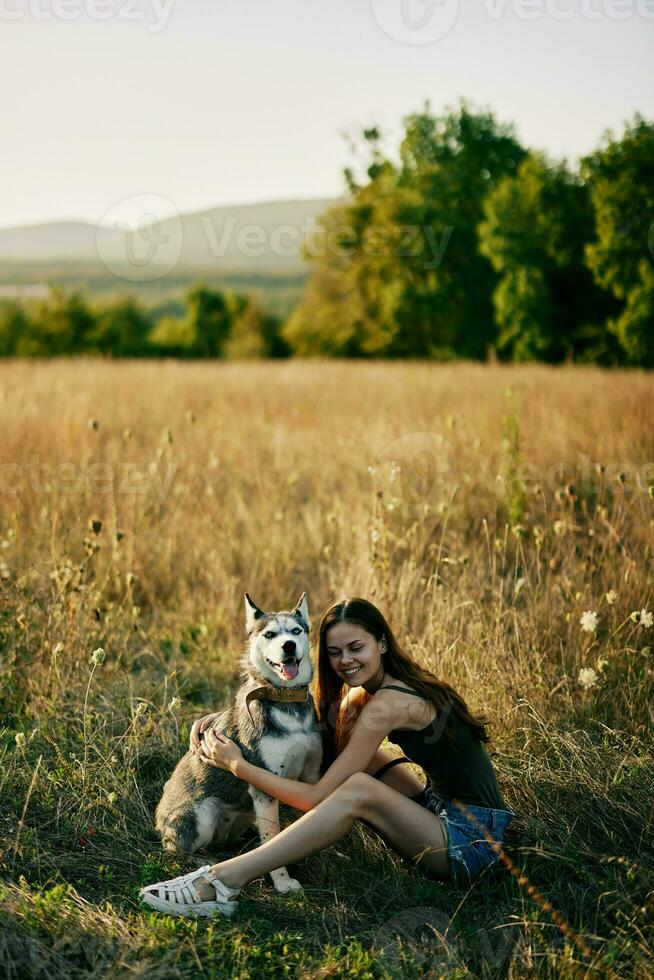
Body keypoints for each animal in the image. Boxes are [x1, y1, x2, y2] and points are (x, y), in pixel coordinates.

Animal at [156, 592, 326, 892]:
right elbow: (273, 838)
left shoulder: (311, 774)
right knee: (176, 850)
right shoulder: (265, 786)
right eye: (270, 634)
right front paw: (282, 882)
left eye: (296, 631)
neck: (284, 699)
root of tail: (157, 819)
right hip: (203, 813)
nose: (289, 645)